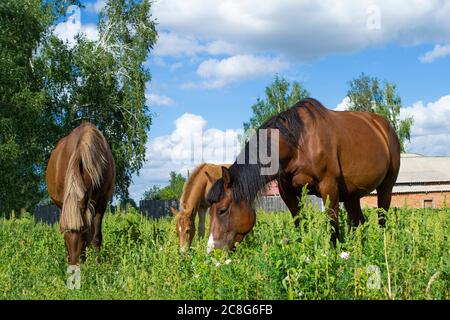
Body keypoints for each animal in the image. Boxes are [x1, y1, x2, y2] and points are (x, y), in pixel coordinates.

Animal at [206, 97, 400, 252]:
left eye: (222, 210)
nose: (212, 250)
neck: (298, 143)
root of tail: (383, 126)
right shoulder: (287, 192)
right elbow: (299, 223)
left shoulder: (329, 186)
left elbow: (332, 225)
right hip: (352, 195)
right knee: (358, 222)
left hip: (386, 188)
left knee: (382, 220)